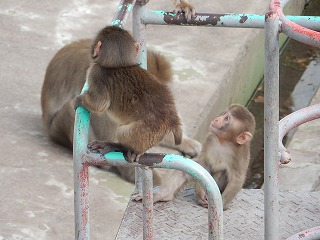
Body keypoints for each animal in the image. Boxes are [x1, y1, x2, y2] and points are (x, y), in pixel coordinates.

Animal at [73, 25, 182, 162]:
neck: (120, 65)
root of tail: (171, 120)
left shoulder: (95, 73)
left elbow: (99, 104)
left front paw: (80, 100)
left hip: (143, 132)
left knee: (123, 132)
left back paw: (120, 146)